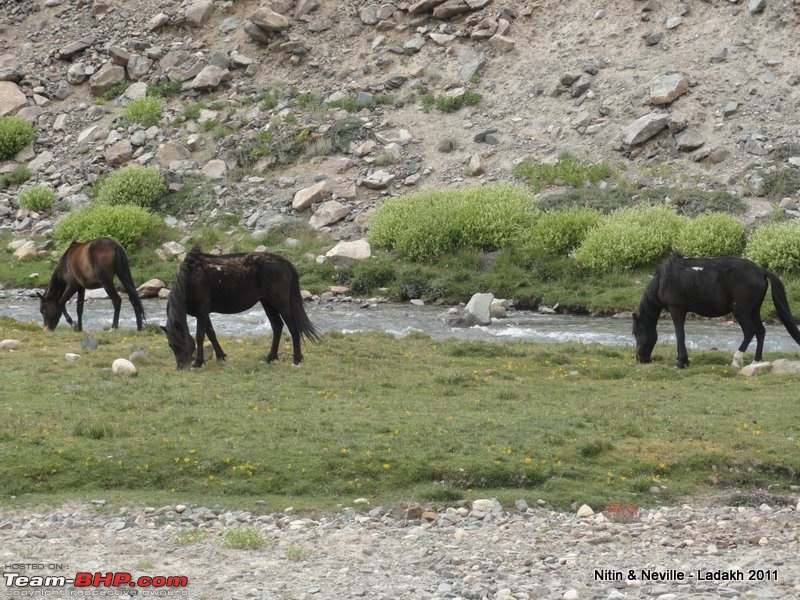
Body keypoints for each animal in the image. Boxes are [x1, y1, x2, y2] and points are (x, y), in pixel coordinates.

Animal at [161, 246, 320, 368]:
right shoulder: (204, 314)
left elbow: (200, 336)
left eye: (177, 344)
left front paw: (198, 362)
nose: (181, 367)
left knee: (292, 328)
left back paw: (297, 359)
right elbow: (211, 334)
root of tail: (284, 262)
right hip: (267, 303)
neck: (190, 281)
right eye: (170, 345)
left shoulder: (202, 312)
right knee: (277, 326)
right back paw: (270, 357)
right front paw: (220, 356)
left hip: (281, 303)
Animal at [632, 254, 800, 368]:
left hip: (741, 311)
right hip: (754, 310)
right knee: (760, 332)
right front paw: (683, 360)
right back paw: (756, 362)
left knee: (749, 332)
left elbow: (680, 335)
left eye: (635, 333)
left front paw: (681, 362)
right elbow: (680, 335)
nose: (639, 358)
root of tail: (760, 271)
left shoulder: (676, 310)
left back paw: (736, 361)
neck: (663, 279)